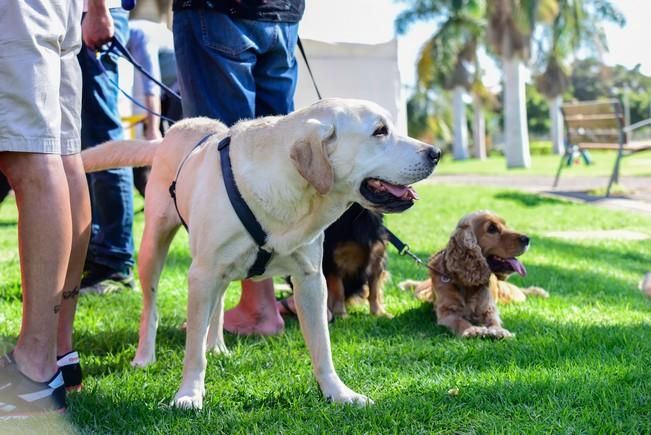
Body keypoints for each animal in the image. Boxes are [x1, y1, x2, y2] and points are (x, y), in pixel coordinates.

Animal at [80, 98, 438, 408]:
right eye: (380, 131)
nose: (435, 152)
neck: (288, 192)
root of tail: (178, 128)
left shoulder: (311, 279)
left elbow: (322, 346)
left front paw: (337, 392)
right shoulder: (201, 274)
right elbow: (192, 351)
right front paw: (188, 395)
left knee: (217, 305)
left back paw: (217, 345)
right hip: (155, 247)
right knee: (151, 308)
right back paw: (145, 356)